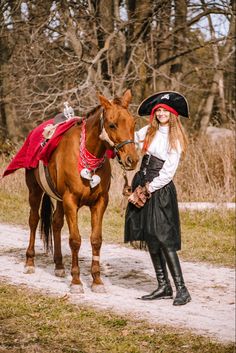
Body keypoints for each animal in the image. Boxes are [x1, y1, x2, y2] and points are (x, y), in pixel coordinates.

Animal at [24, 88, 138, 292]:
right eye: (112, 125)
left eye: (133, 123)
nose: (132, 159)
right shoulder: (71, 200)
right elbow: (75, 240)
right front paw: (76, 281)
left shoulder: (99, 202)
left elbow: (96, 239)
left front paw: (97, 280)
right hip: (35, 191)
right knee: (33, 220)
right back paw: (30, 262)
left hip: (59, 199)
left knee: (56, 223)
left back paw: (59, 265)